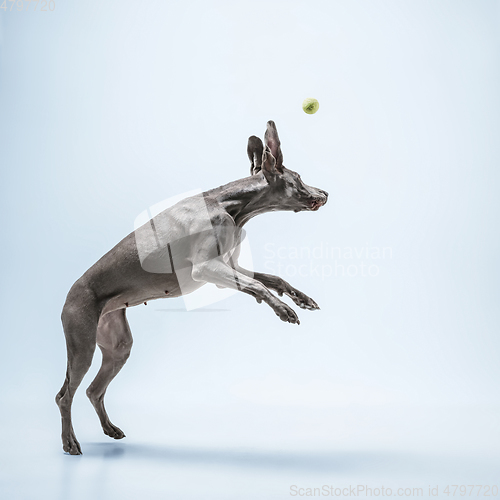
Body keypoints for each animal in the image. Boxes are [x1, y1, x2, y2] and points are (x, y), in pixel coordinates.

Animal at [56, 120, 328, 454]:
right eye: (299, 177)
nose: (326, 193)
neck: (233, 206)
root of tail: (68, 294)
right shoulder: (206, 268)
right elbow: (257, 285)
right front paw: (283, 310)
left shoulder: (229, 265)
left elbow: (272, 279)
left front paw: (300, 299)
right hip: (82, 344)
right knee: (64, 395)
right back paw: (70, 442)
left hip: (117, 345)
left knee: (94, 390)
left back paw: (110, 429)